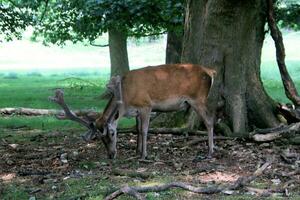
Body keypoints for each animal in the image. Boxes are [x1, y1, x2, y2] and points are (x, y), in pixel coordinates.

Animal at [49, 64, 216, 159]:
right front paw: (136, 151)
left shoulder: (146, 105)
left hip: (198, 98)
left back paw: (210, 151)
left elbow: (144, 130)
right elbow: (137, 130)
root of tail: (211, 71)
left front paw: (144, 155)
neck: (126, 98)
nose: (111, 155)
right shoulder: (136, 111)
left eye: (112, 133)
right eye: (99, 138)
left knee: (209, 120)